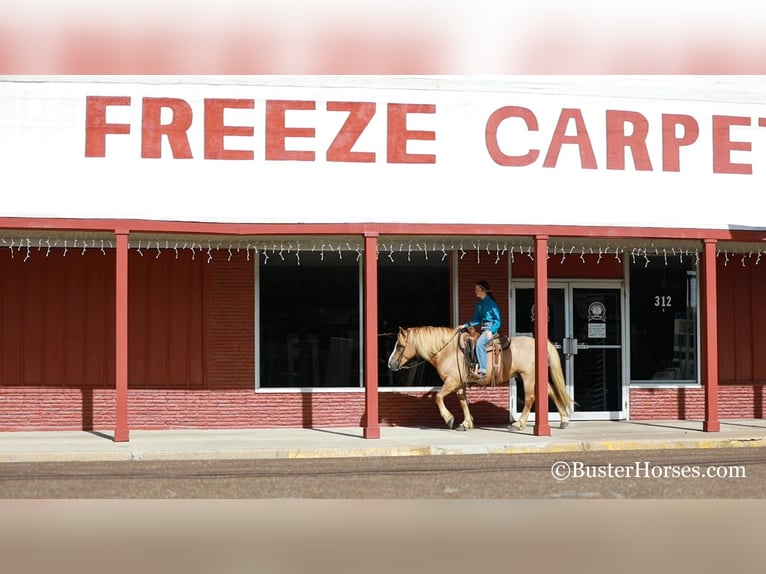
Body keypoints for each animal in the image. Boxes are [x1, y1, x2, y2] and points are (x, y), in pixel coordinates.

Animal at [390, 328, 576, 432]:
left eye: (400, 345)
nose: (390, 363)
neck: (447, 351)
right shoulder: (459, 384)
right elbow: (463, 402)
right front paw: (466, 423)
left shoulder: (451, 381)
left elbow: (438, 397)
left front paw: (449, 418)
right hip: (535, 377)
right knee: (552, 393)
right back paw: (564, 420)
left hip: (528, 377)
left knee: (530, 398)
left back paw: (518, 424)